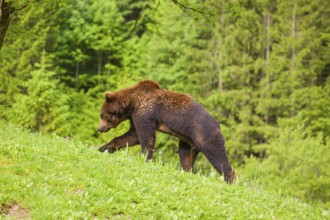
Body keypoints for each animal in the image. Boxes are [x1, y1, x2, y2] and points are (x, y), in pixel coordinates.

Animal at [96, 80, 236, 183]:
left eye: (102, 115)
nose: (99, 128)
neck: (132, 103)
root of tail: (218, 125)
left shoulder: (146, 112)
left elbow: (146, 136)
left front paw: (146, 158)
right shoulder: (135, 116)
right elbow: (132, 136)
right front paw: (104, 147)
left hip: (204, 133)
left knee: (217, 156)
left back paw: (230, 180)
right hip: (187, 141)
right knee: (186, 157)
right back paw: (187, 171)